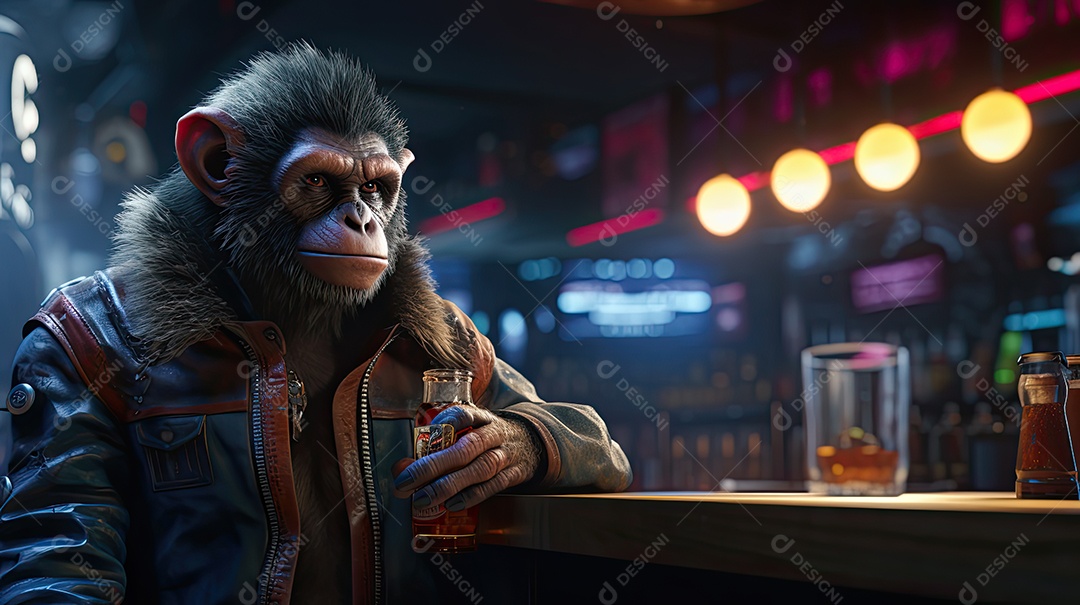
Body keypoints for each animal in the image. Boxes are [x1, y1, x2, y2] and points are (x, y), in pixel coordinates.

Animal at [0, 42, 632, 604]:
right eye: (317, 181)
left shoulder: (459, 329)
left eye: (374, 186)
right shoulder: (55, 345)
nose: (361, 218)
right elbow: (58, 538)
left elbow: (563, 415)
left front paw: (490, 446)